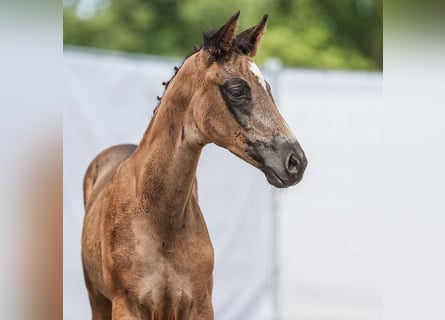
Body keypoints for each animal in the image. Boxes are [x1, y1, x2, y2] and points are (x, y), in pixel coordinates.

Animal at [80, 11, 306, 318]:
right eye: (237, 90)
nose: (296, 161)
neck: (161, 221)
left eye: (268, 89)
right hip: (98, 300)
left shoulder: (200, 304)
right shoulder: (126, 305)